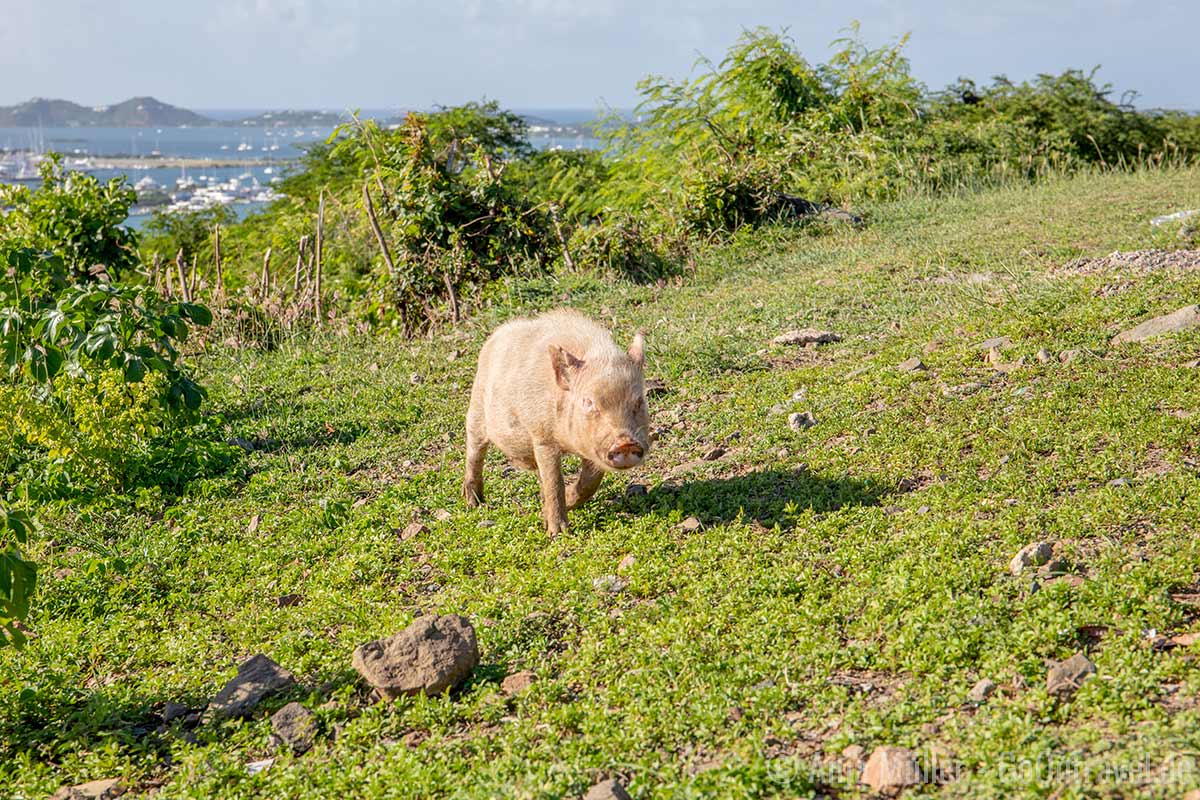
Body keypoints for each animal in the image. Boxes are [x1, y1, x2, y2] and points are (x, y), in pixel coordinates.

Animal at [463, 309, 650, 534]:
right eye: (588, 401)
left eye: (639, 400)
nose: (625, 443)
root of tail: (496, 335)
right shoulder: (542, 437)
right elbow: (555, 481)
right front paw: (558, 534)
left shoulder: (591, 448)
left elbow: (589, 483)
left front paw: (552, 512)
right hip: (476, 409)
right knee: (474, 452)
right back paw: (474, 503)